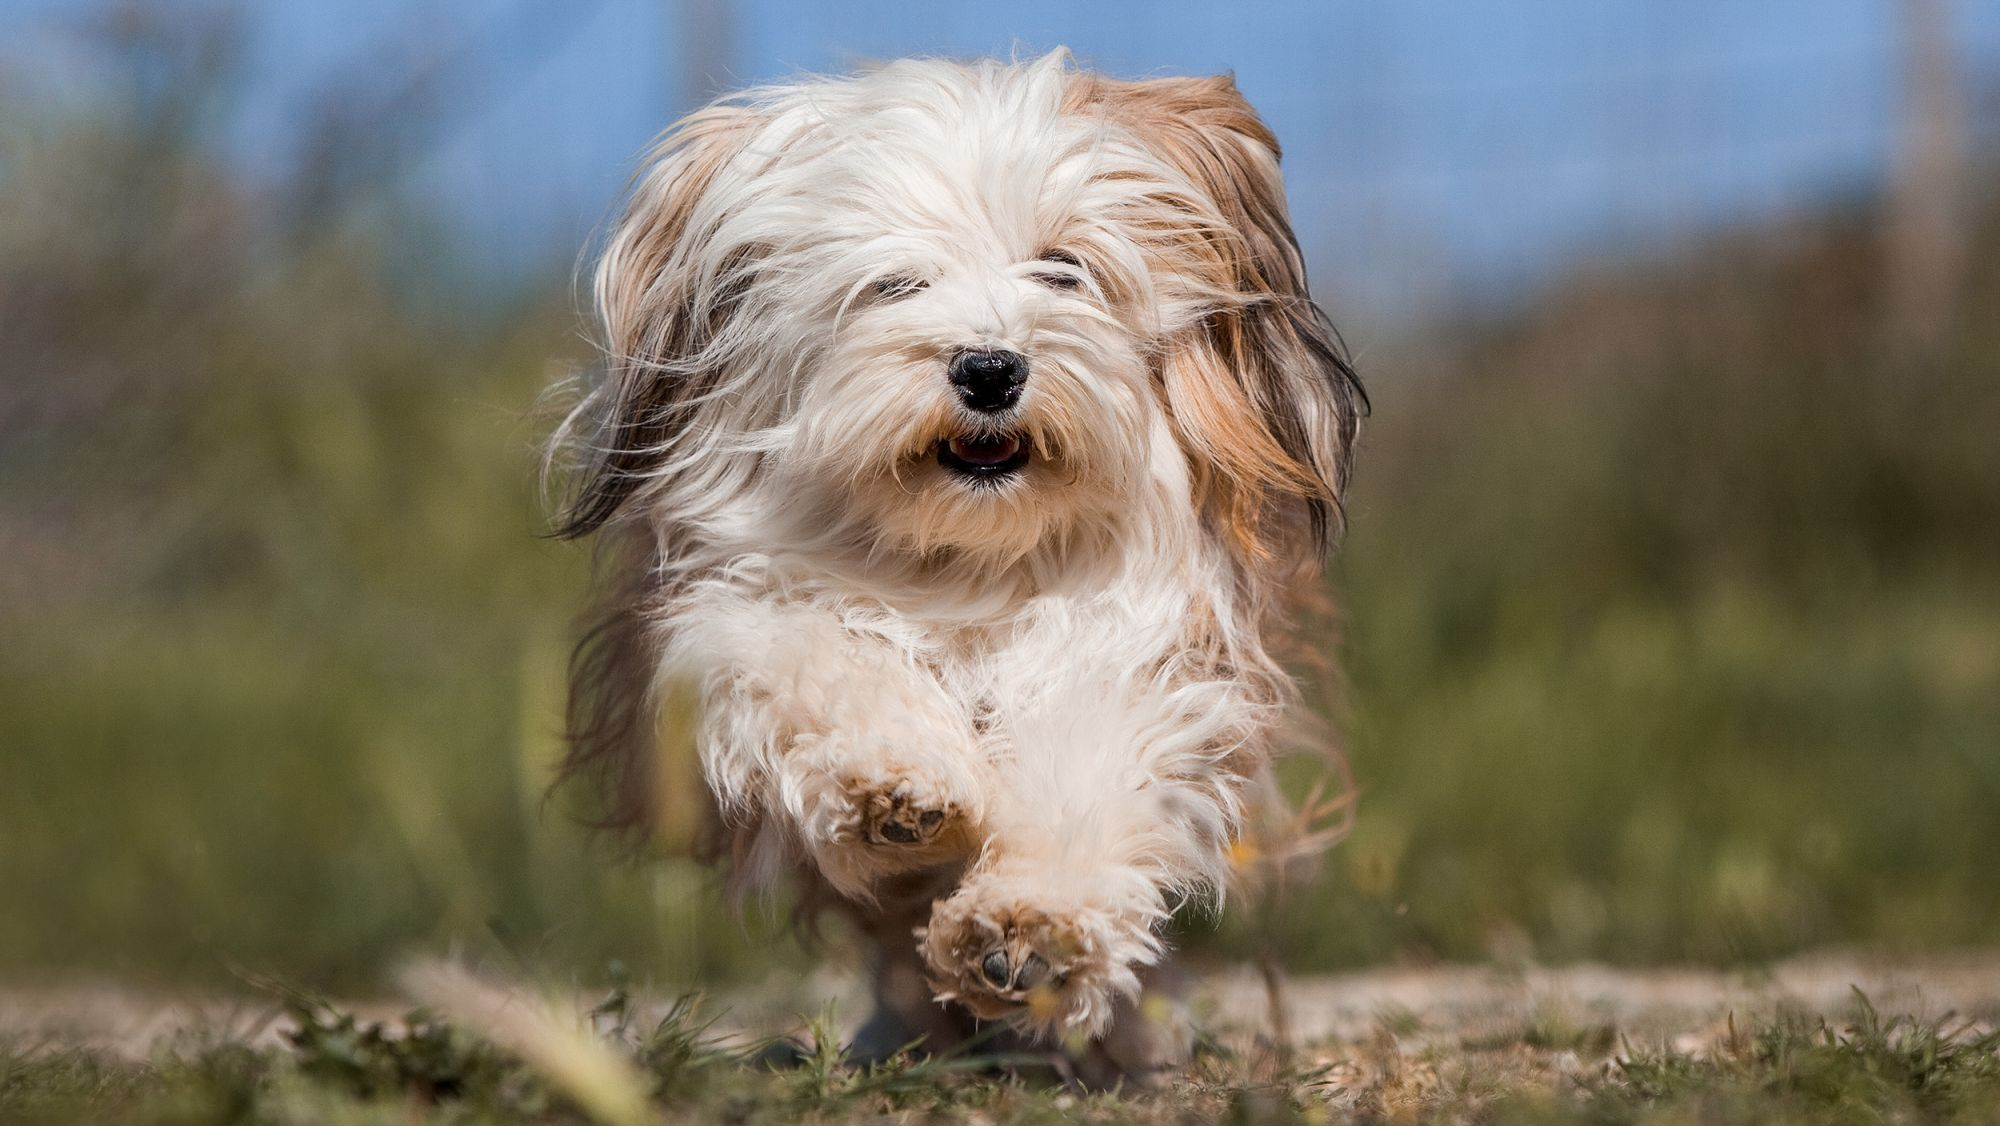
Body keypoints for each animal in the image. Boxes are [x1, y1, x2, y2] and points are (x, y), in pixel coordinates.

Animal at [548, 48, 1360, 1080]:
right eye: (895, 283)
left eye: (1063, 268)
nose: (988, 369)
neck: (971, 562)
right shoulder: (742, 605)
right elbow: (819, 658)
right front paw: (888, 782)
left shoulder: (1128, 652)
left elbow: (1083, 771)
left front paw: (1031, 930)